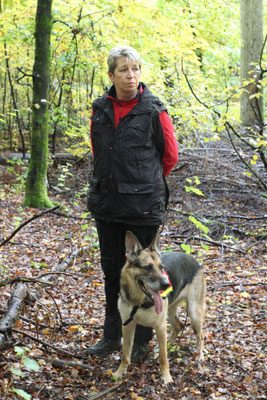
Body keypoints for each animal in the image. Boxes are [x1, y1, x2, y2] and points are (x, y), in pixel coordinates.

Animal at [113, 231, 207, 384]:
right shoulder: (127, 325)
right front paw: (120, 372)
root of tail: (194, 260)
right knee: (179, 326)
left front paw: (166, 377)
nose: (166, 284)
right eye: (148, 267)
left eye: (161, 267)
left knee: (200, 336)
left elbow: (164, 359)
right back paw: (167, 345)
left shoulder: (160, 326)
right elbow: (126, 354)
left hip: (194, 312)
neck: (139, 301)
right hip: (169, 312)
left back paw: (200, 356)